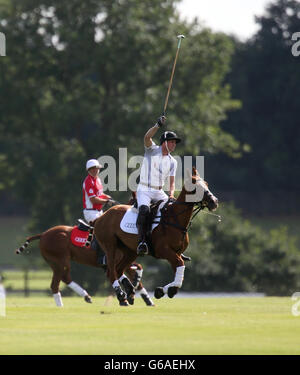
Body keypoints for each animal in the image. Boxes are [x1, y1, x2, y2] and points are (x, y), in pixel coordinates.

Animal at [94, 167, 218, 306]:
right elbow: (180, 265)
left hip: (130, 251)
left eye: (206, 184)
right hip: (110, 246)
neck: (175, 219)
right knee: (111, 271)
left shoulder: (176, 253)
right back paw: (122, 297)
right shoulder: (164, 250)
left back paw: (130, 291)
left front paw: (165, 290)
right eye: (195, 186)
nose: (214, 202)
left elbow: (179, 272)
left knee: (119, 269)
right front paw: (164, 291)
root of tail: (101, 217)